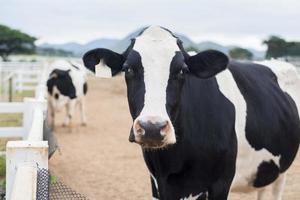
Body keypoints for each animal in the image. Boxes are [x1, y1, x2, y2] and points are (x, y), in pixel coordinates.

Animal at [82, 26, 300, 200]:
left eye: (182, 70)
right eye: (128, 69)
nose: (152, 128)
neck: (174, 163)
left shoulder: (221, 182)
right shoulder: (157, 183)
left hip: (282, 169)